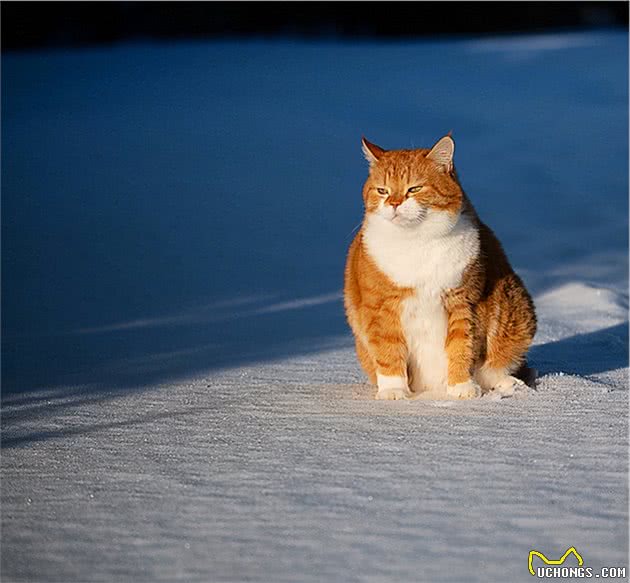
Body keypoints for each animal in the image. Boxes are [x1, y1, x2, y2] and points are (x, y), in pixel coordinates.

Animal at [346, 135, 540, 400]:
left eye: (414, 189)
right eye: (382, 190)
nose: (394, 203)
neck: (416, 242)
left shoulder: (464, 302)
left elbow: (462, 346)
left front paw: (461, 386)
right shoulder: (380, 307)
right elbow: (387, 350)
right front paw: (394, 391)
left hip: (516, 307)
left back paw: (508, 384)